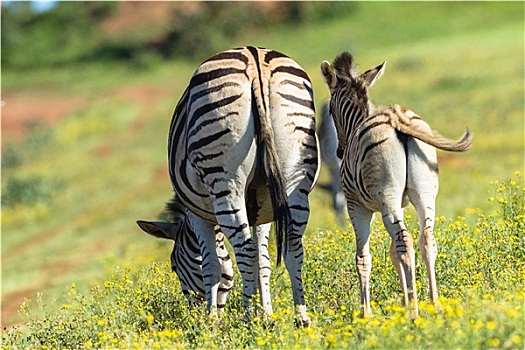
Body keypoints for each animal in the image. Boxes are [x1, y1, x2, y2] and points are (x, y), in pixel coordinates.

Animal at [156, 46, 320, 326]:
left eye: (174, 267)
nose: (194, 318)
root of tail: (255, 59)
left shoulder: (198, 215)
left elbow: (212, 266)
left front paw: (213, 324)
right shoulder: (263, 206)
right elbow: (263, 260)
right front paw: (266, 314)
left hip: (225, 179)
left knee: (245, 251)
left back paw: (247, 321)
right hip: (295, 176)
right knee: (292, 248)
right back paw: (301, 319)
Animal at [320, 52, 470, 318]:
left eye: (329, 110)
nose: (339, 151)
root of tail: (394, 117)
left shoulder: (356, 205)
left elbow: (363, 257)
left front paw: (366, 314)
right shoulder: (397, 204)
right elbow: (391, 252)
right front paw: (403, 298)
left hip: (386, 196)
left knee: (405, 242)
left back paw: (414, 312)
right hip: (423, 194)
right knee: (425, 239)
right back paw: (434, 304)